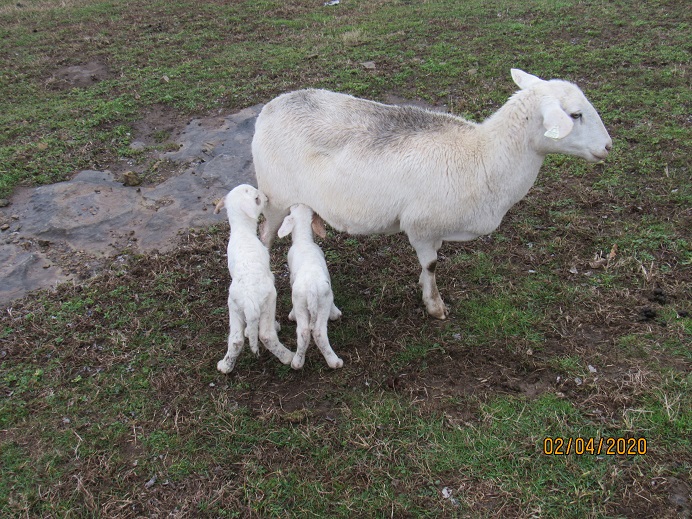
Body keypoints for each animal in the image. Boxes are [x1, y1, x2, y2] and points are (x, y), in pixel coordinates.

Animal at [215, 185, 294, 372]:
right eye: (257, 198)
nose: (266, 197)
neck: (242, 231)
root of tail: (249, 302)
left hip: (234, 307)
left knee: (236, 340)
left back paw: (225, 366)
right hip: (268, 301)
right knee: (266, 335)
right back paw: (287, 356)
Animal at [254, 68, 612, 320]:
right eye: (575, 115)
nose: (608, 147)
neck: (484, 156)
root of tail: (271, 107)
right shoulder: (421, 226)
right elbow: (432, 265)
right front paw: (435, 305)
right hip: (274, 196)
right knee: (265, 235)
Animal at [278, 203, 344, 370]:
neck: (303, 240)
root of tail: (311, 290)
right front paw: (336, 313)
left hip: (301, 302)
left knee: (304, 332)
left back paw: (297, 362)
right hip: (322, 303)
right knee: (318, 332)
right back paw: (334, 362)